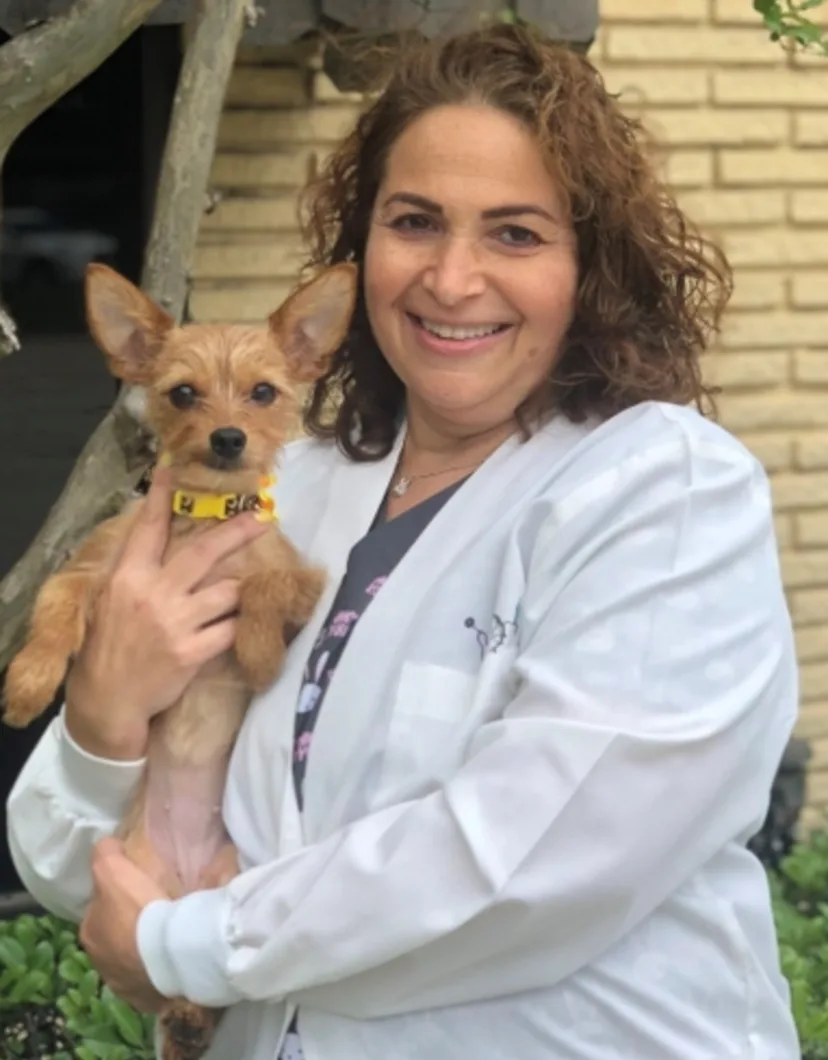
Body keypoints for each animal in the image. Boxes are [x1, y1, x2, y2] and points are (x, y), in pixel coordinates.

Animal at [4, 258, 358, 1060]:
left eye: (263, 393)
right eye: (182, 393)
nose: (227, 438)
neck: (204, 525)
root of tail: (180, 875)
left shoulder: (302, 581)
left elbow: (261, 586)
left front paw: (256, 654)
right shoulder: (92, 571)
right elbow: (53, 608)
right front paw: (29, 682)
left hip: (220, 892)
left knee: (195, 987)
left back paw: (196, 1016)